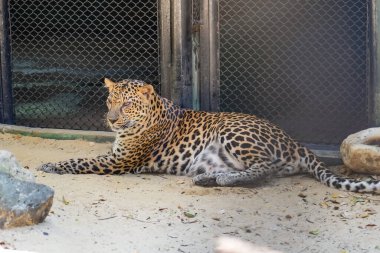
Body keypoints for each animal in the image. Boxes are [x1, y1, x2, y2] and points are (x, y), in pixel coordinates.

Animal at [37, 78, 380, 193]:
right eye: (110, 102)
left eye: (127, 105)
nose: (111, 119)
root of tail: (294, 142)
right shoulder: (115, 155)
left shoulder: (120, 161)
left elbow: (80, 161)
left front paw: (51, 166)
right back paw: (208, 178)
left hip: (232, 130)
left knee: (264, 168)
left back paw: (220, 179)